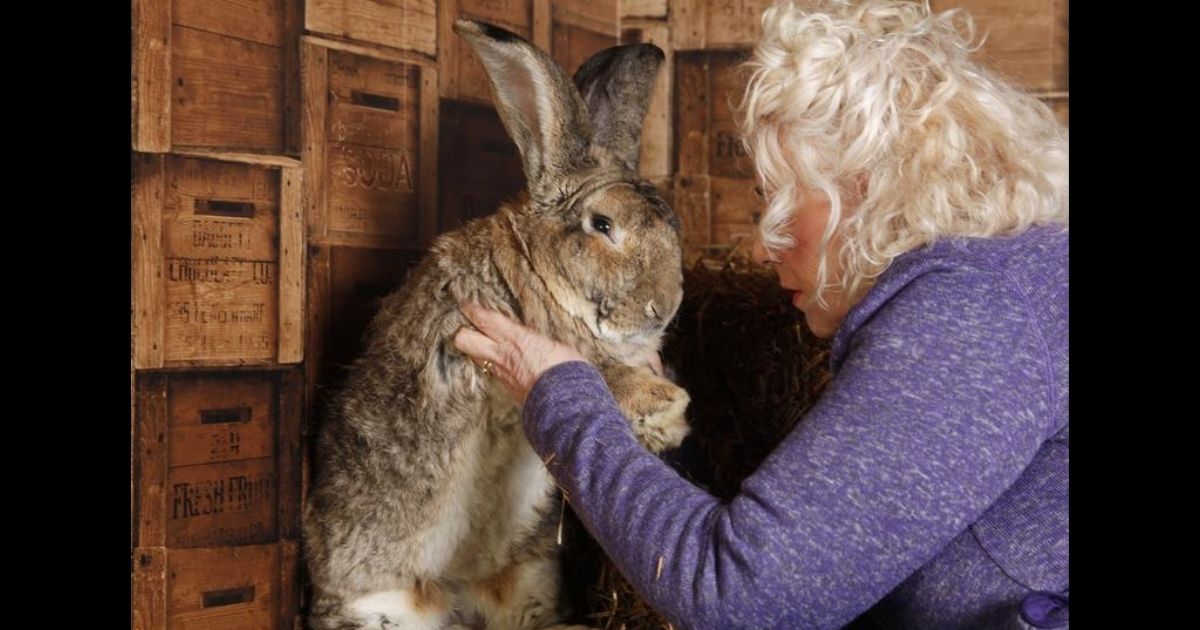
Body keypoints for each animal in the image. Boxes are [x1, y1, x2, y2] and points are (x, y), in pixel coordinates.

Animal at [303, 19, 690, 630]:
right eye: (603, 225)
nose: (664, 305)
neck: (536, 271)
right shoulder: (474, 340)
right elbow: (591, 367)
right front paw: (665, 407)